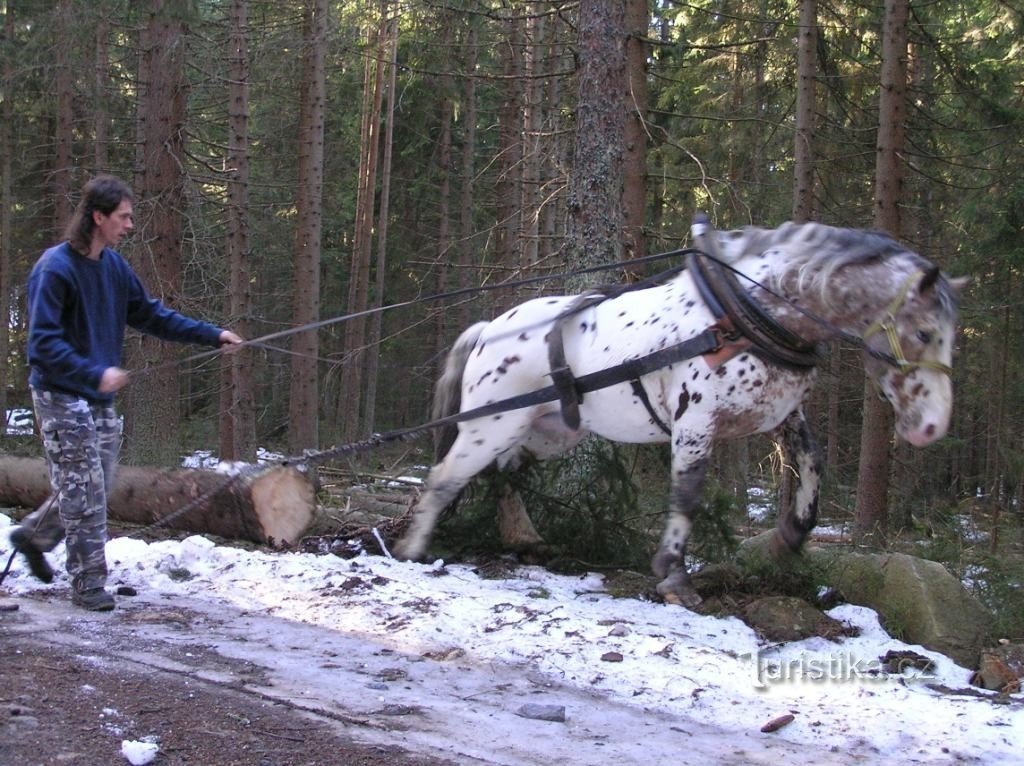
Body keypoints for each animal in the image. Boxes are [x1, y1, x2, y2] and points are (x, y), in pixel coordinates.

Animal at [393, 214, 966, 606]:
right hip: (491, 423)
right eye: (922, 332)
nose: (932, 427)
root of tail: (489, 328)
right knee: (445, 477)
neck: (742, 316)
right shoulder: (695, 422)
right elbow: (687, 494)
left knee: (506, 473)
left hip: (546, 430)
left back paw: (524, 538)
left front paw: (786, 540)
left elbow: (812, 467)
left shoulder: (783, 417)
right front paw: (673, 575)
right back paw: (413, 549)